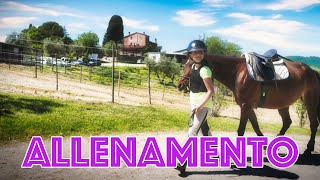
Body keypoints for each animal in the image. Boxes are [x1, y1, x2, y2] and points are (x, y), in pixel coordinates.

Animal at [178, 54, 320, 155]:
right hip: (283, 104)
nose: (180, 85)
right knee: (287, 122)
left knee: (313, 124)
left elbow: (241, 130)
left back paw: (309, 148)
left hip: (310, 102)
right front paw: (264, 146)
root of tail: (312, 71)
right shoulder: (247, 106)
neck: (237, 72)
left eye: (192, 66)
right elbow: (256, 125)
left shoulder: (246, 106)